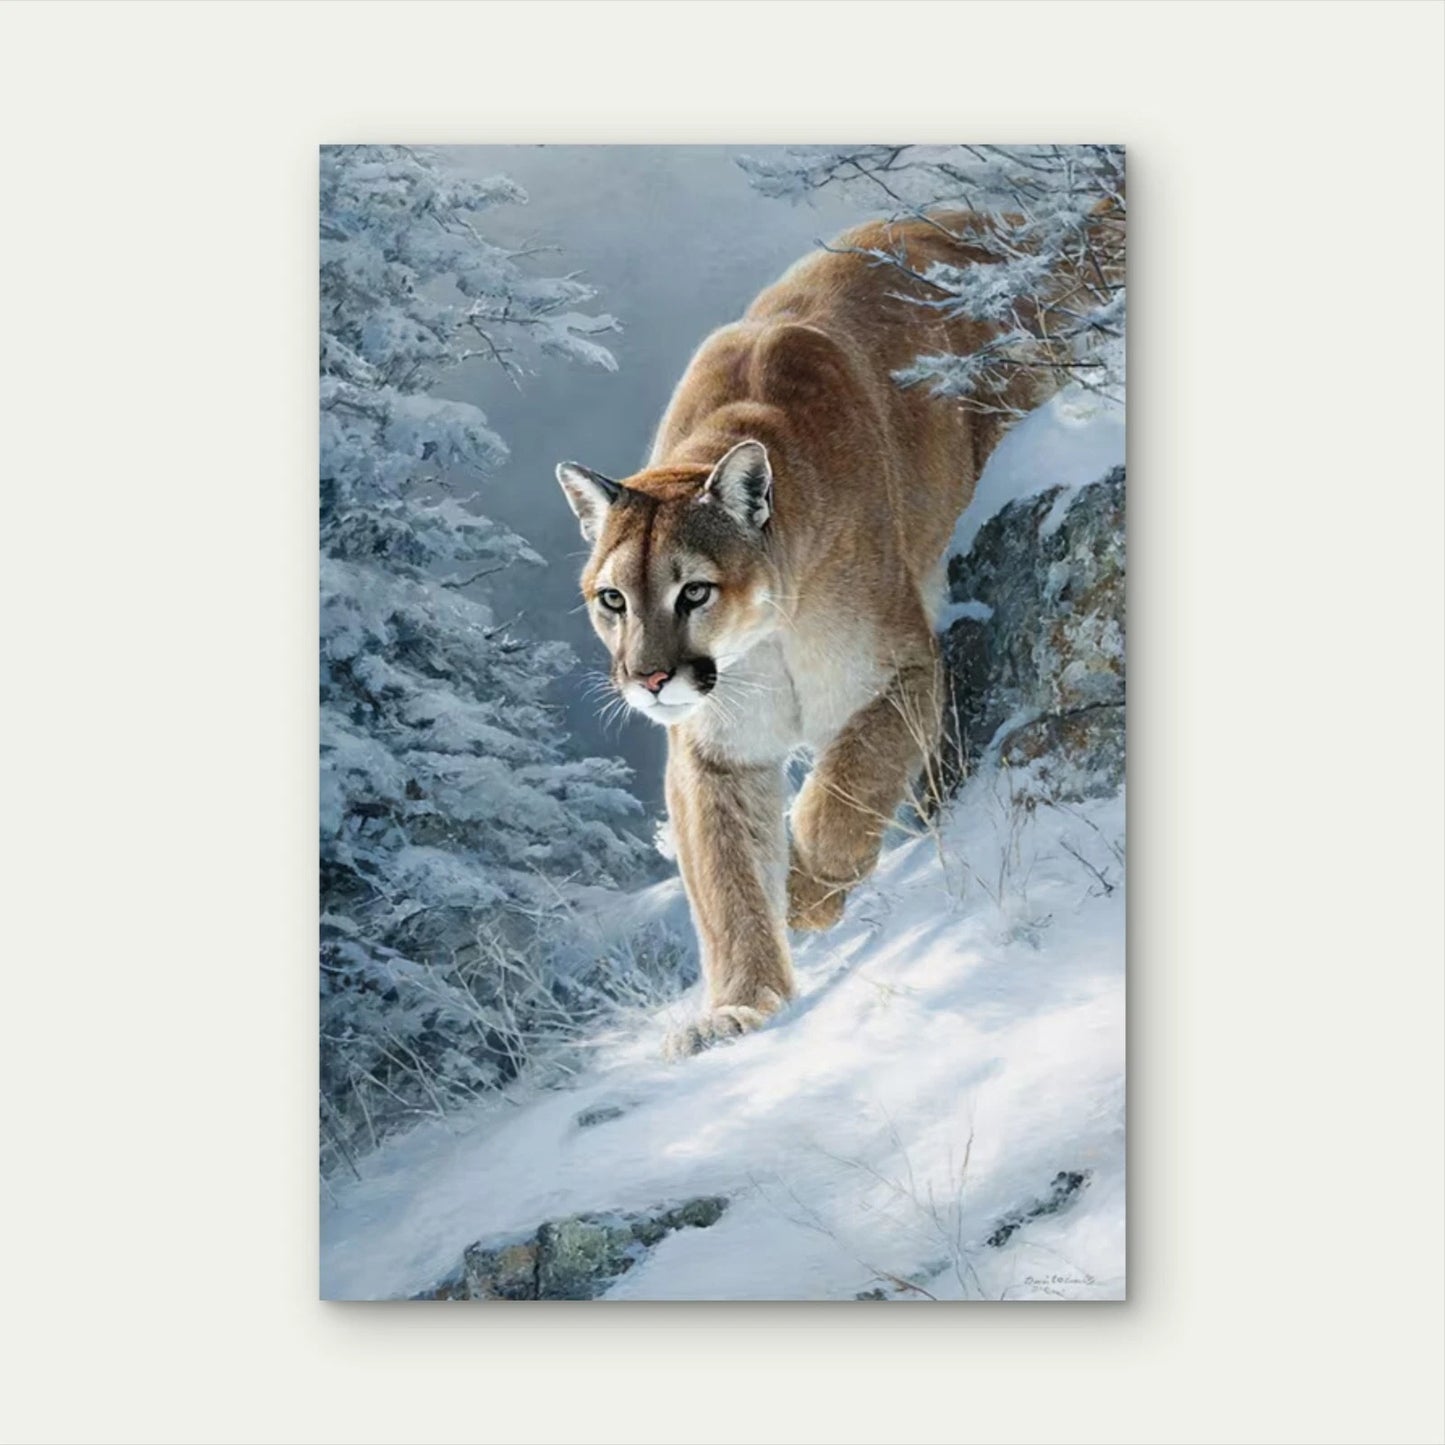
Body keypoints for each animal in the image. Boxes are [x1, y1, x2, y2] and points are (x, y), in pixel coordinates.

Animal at [556, 214, 1048, 1057]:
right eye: (611, 598)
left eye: (694, 590)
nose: (648, 680)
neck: (761, 639)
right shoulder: (713, 751)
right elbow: (724, 883)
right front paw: (740, 1007)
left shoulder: (899, 670)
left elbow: (843, 790)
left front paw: (808, 893)